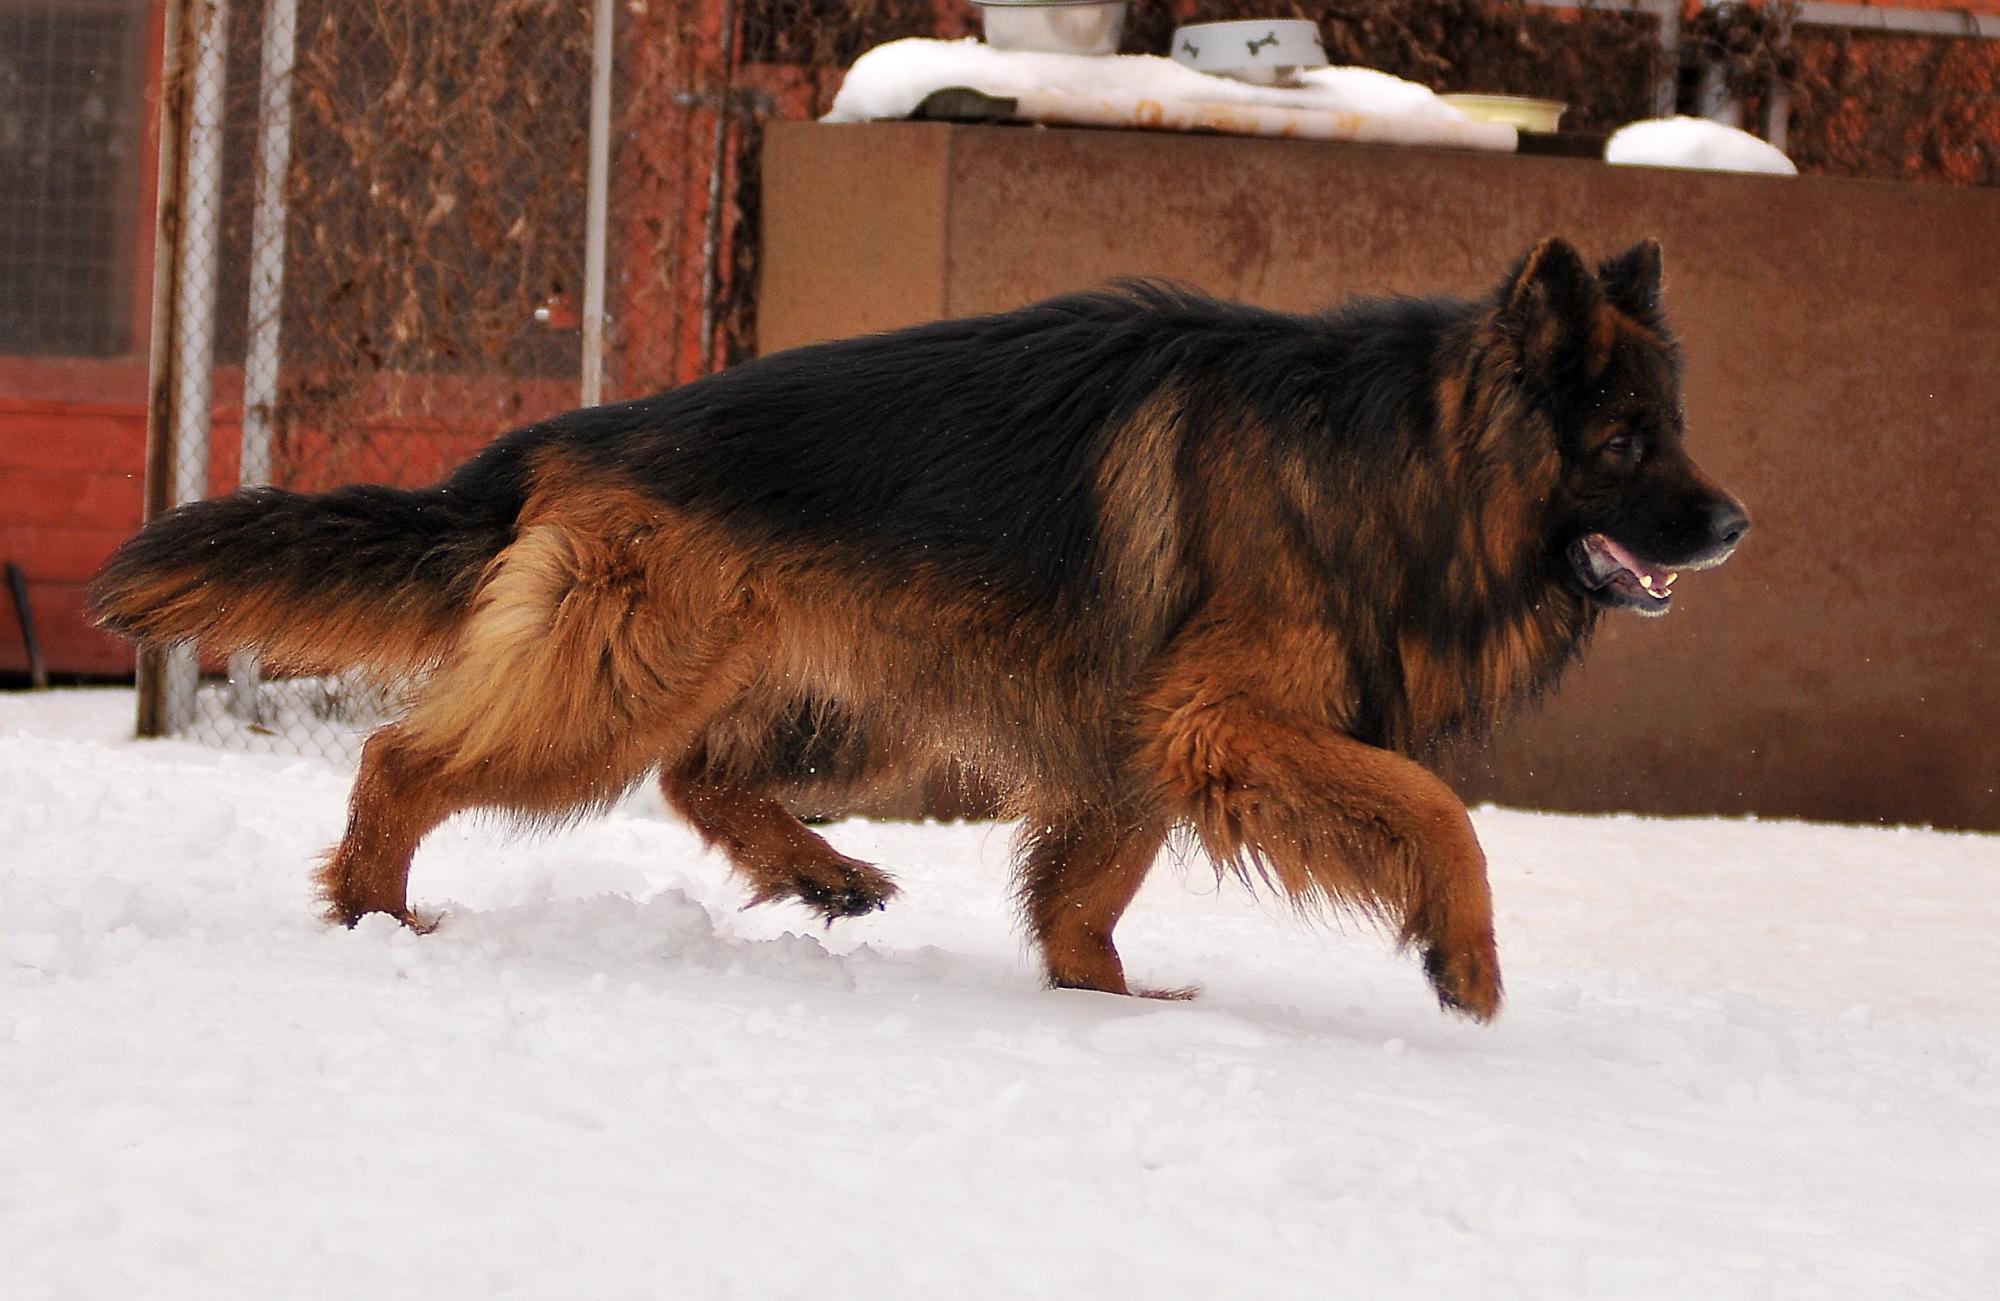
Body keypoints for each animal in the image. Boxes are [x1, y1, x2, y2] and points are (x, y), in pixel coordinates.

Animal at [101, 238, 1744, 1016]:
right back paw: (375, 914)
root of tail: (585, 428)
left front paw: (1109, 1005)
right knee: (406, 760)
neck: (1395, 449)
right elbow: (1435, 812)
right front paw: (1465, 959)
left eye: (1675, 426)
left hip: (851, 694)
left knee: (702, 775)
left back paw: (819, 875)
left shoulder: (1137, 742)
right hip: (628, 680)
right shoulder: (1222, 724)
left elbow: (1083, 896)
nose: (1733, 524)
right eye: (1626, 440)